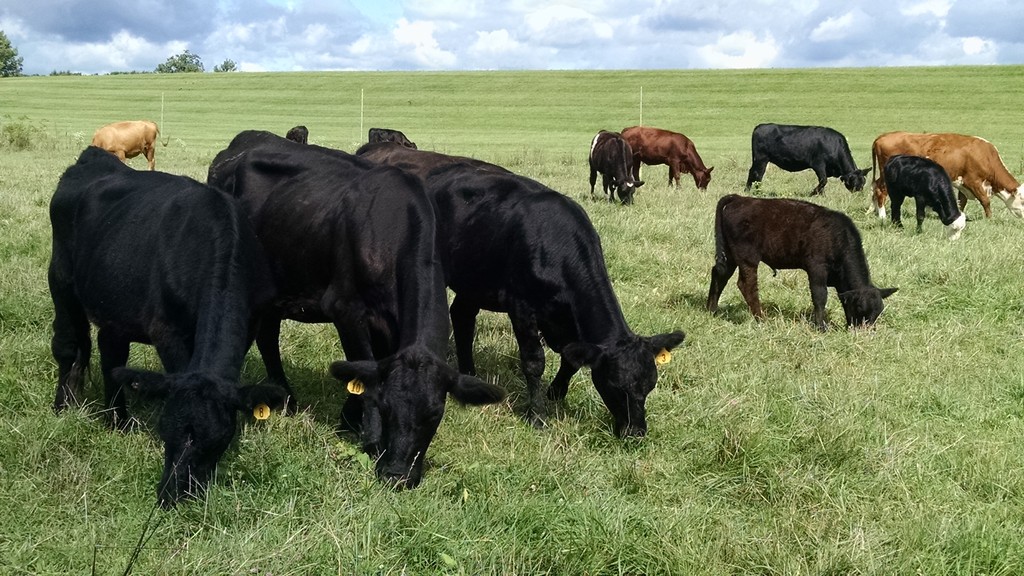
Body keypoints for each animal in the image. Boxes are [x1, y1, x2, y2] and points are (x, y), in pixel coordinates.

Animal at [49, 146, 287, 508]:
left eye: (218, 440)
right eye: (165, 431)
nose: (173, 495)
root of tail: (93, 156)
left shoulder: (249, 324)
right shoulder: (168, 331)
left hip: (115, 301)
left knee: (111, 354)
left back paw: (118, 420)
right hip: (60, 278)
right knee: (68, 345)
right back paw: (64, 407)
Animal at [208, 131, 505, 489]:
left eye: (435, 415)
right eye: (387, 408)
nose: (397, 476)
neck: (390, 231)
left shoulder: (388, 324)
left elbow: (368, 367)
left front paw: (349, 419)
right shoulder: (346, 310)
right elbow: (364, 372)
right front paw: (369, 435)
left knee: (267, 335)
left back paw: (285, 397)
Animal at [357, 146, 686, 437]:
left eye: (650, 385)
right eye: (615, 385)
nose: (636, 432)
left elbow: (571, 358)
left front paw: (556, 394)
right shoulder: (522, 307)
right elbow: (533, 361)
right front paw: (537, 415)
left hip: (474, 278)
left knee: (462, 317)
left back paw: (470, 372)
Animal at [706, 194, 897, 331]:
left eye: (878, 311)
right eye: (860, 307)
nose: (864, 332)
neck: (837, 237)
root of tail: (739, 198)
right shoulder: (816, 269)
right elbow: (820, 296)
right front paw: (821, 326)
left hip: (730, 256)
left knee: (719, 274)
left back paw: (712, 309)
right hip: (748, 258)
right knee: (747, 285)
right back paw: (761, 318)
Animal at [871, 131, 1024, 220]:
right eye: (1022, 201)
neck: (985, 155)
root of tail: (883, 136)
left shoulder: (963, 185)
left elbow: (962, 202)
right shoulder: (972, 181)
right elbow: (985, 200)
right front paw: (989, 219)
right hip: (888, 176)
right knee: (880, 190)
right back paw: (882, 216)